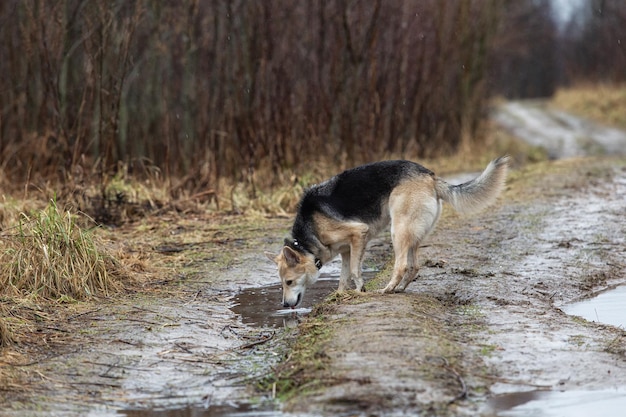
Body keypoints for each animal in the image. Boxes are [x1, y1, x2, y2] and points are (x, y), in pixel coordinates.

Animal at [264, 156, 508, 308]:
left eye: (288, 282)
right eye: (282, 283)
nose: (283, 305)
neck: (306, 241)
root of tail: (429, 175)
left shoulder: (358, 234)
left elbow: (355, 272)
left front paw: (360, 291)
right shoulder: (346, 251)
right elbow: (343, 277)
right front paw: (340, 296)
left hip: (397, 230)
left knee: (400, 265)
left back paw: (387, 289)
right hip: (412, 235)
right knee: (414, 266)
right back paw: (399, 289)